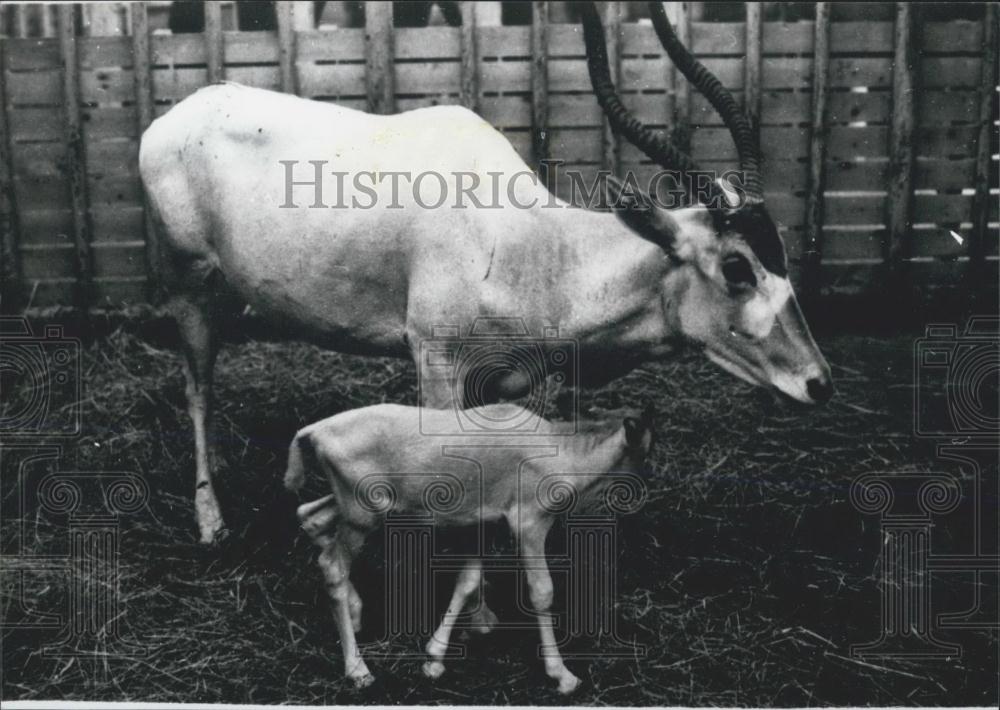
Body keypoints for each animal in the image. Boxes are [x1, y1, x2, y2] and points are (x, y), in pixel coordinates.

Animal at [139, 1, 828, 552]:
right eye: (736, 266)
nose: (817, 381)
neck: (530, 245)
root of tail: (170, 121)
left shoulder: (496, 381)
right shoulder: (435, 360)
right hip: (188, 286)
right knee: (197, 388)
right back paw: (210, 519)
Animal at [286, 404, 652, 700]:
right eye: (644, 452)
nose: (641, 497)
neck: (563, 452)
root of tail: (314, 431)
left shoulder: (483, 524)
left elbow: (468, 580)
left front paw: (435, 658)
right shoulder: (529, 523)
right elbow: (542, 592)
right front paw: (563, 676)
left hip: (355, 508)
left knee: (310, 517)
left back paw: (357, 610)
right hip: (362, 515)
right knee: (332, 566)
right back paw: (358, 669)